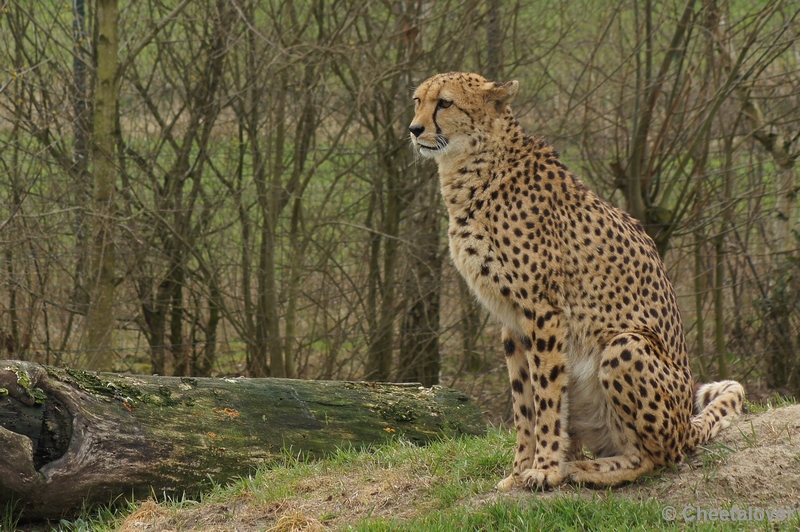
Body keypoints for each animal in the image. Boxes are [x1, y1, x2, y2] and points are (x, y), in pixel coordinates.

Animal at [410, 71, 748, 490]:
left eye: (445, 102)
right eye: (417, 101)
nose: (414, 129)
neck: (473, 167)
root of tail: (687, 424)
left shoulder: (544, 312)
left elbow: (547, 397)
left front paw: (545, 469)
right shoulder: (511, 321)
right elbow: (524, 403)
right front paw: (518, 472)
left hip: (626, 344)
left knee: (656, 458)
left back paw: (584, 470)